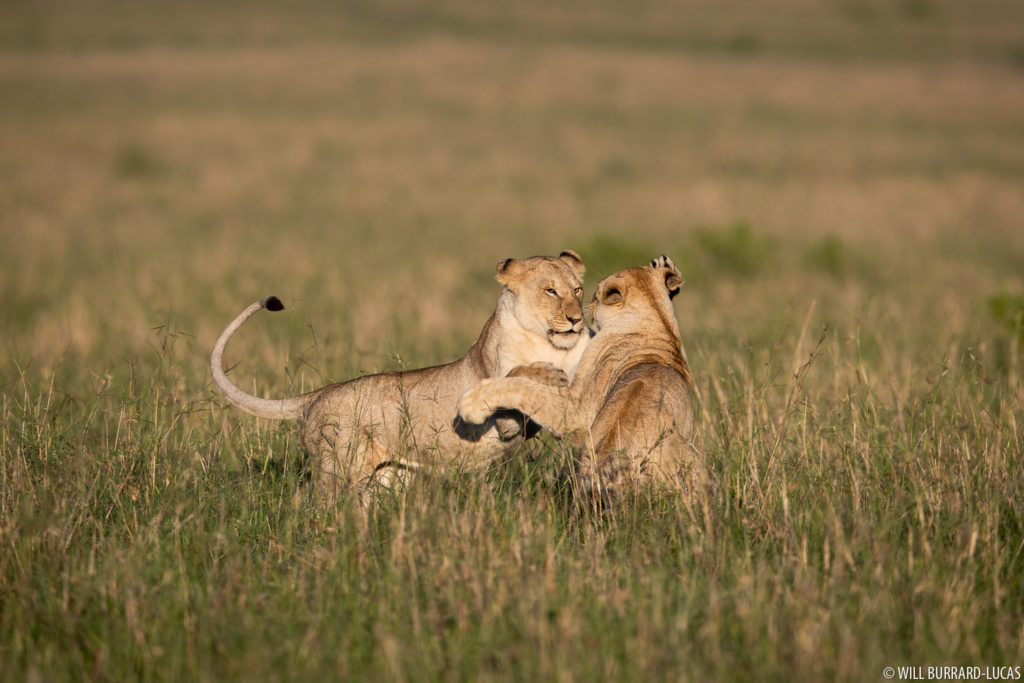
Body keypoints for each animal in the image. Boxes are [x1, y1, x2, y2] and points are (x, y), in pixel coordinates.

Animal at [210, 249, 589, 497]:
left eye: (577, 290)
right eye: (550, 290)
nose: (576, 319)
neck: (548, 342)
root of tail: (319, 395)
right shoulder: (505, 419)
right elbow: (514, 377)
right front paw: (546, 374)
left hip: (385, 480)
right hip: (337, 473)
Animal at [456, 255, 704, 501]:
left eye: (588, 292)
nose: (587, 309)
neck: (658, 323)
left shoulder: (578, 413)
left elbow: (526, 390)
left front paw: (472, 402)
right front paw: (664, 267)